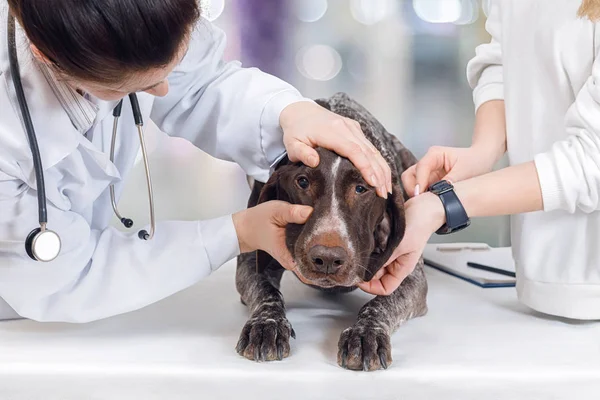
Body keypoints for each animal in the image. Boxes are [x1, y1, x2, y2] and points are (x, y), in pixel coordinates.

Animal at [233, 92, 426, 370]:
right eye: (302, 182)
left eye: (361, 188)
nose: (326, 259)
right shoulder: (252, 260)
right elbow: (266, 292)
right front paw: (266, 324)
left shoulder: (411, 278)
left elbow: (380, 303)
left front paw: (366, 333)